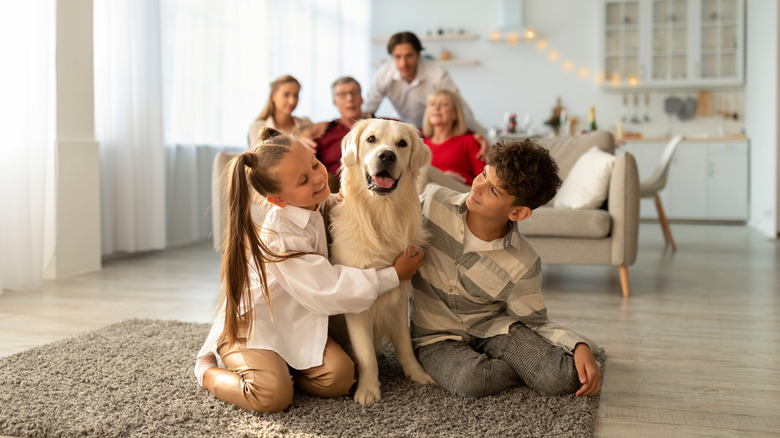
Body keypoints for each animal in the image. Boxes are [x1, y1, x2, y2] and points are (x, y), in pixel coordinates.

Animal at [330, 119, 436, 404]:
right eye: (371, 139)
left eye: (402, 144)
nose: (387, 155)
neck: (382, 214)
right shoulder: (355, 301)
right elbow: (365, 352)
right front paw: (368, 389)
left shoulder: (399, 296)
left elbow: (404, 344)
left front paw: (417, 374)